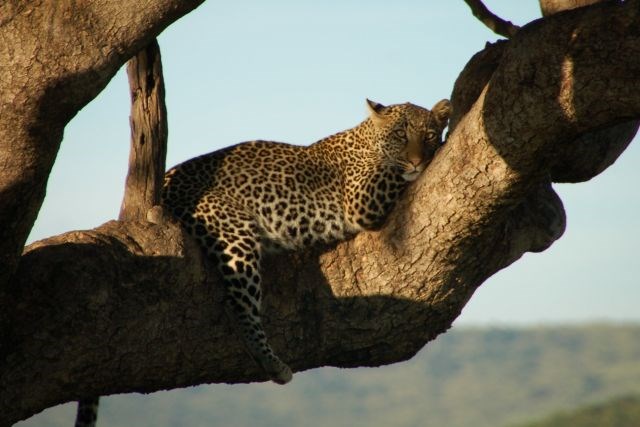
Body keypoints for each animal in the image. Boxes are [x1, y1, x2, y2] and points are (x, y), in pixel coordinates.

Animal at [161, 98, 452, 384]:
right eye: (400, 135)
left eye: (428, 135)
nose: (416, 161)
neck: (366, 139)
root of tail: (167, 179)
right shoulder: (360, 198)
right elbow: (394, 171)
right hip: (233, 229)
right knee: (239, 306)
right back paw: (272, 364)